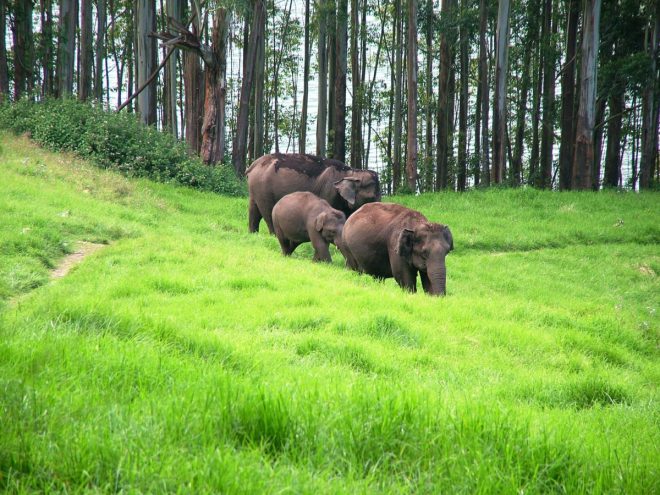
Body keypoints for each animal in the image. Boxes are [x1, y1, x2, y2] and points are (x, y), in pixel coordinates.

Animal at [246, 153, 382, 234]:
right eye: (371, 197)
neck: (352, 172)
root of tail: (253, 165)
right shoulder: (329, 191)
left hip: (255, 189)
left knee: (254, 210)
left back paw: (253, 234)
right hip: (263, 188)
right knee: (267, 212)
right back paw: (273, 235)